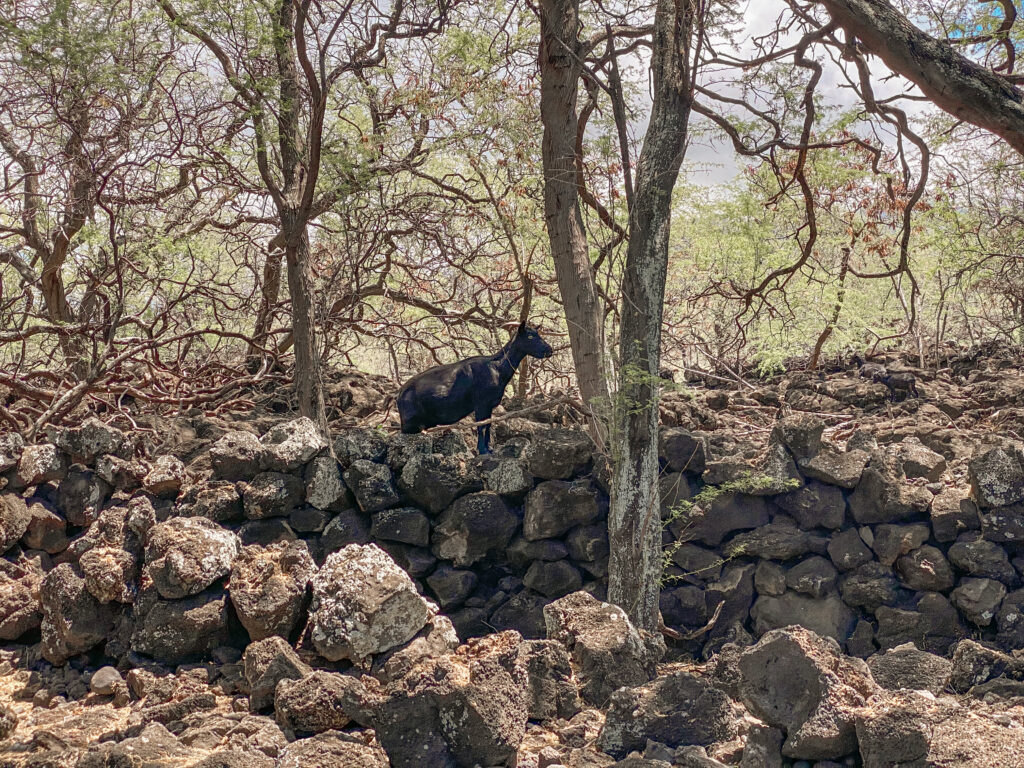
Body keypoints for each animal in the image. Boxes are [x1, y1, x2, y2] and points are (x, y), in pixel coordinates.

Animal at [395, 321, 552, 454]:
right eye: (530, 336)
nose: (549, 350)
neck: (497, 368)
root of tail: (400, 393)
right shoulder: (481, 404)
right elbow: (481, 426)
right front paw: (482, 451)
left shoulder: (489, 405)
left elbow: (488, 426)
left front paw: (488, 449)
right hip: (409, 425)